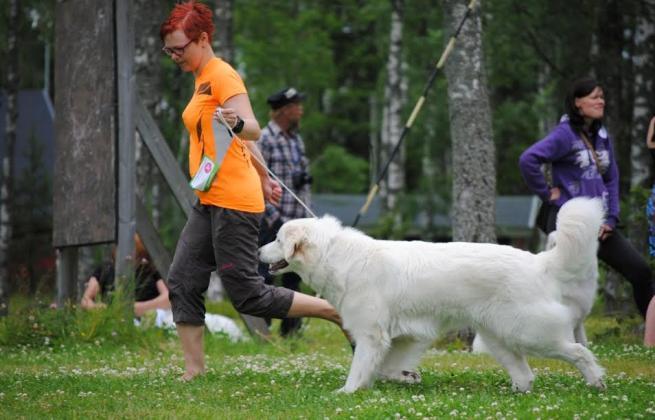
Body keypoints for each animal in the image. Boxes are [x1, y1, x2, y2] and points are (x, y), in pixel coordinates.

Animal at [258, 198, 608, 394]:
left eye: (277, 239)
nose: (259, 251)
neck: (336, 256)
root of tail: (538, 261)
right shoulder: (405, 337)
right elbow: (384, 368)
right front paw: (407, 376)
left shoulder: (372, 335)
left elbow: (359, 368)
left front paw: (347, 392)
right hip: (498, 337)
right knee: (525, 373)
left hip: (530, 332)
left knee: (579, 352)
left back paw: (597, 383)